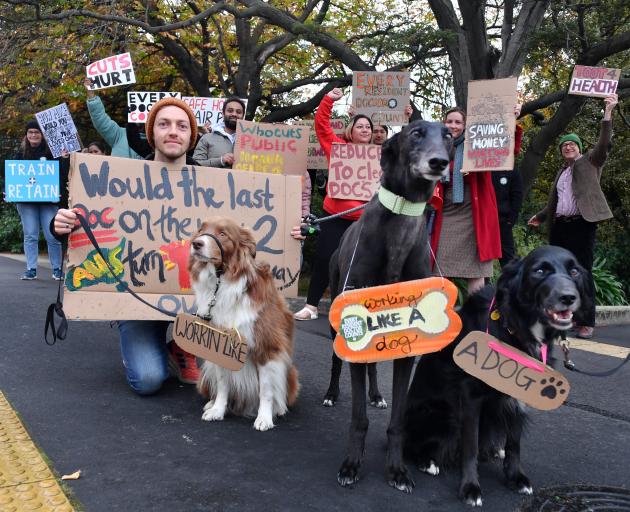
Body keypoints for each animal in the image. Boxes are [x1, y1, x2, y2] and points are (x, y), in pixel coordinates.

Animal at [330, 120, 454, 492]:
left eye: (449, 136)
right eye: (415, 133)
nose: (439, 163)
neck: (401, 215)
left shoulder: (407, 341)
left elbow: (397, 421)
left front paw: (397, 470)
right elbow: (358, 418)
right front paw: (351, 465)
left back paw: (375, 394)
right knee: (338, 361)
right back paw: (331, 392)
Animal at [404, 246, 592, 506]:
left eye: (574, 271)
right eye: (539, 271)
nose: (568, 297)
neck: (515, 328)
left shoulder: (521, 392)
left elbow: (514, 443)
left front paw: (516, 478)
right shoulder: (470, 396)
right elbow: (470, 446)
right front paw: (470, 488)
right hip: (441, 414)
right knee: (413, 444)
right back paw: (428, 462)